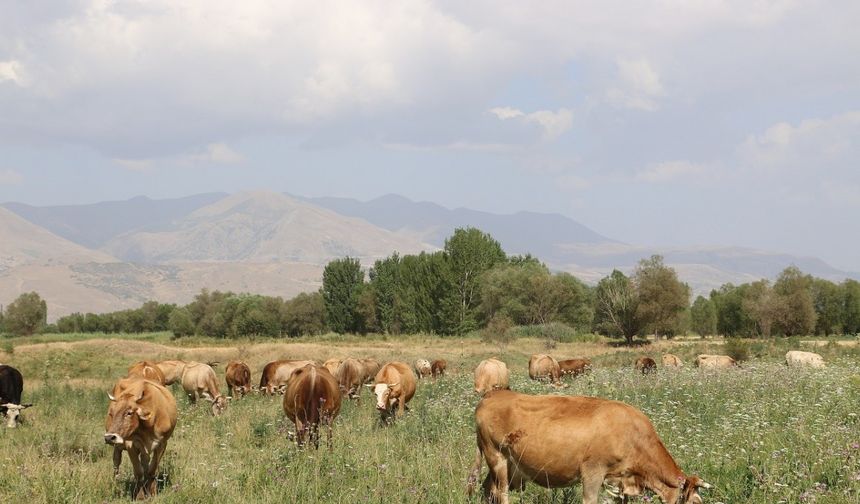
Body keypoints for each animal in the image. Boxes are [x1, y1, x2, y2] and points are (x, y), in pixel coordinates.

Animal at [466, 390, 708, 504]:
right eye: (696, 502)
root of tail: (493, 394)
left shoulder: (619, 480)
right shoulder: (593, 472)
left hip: (506, 465)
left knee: (487, 489)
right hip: (496, 456)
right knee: (500, 492)